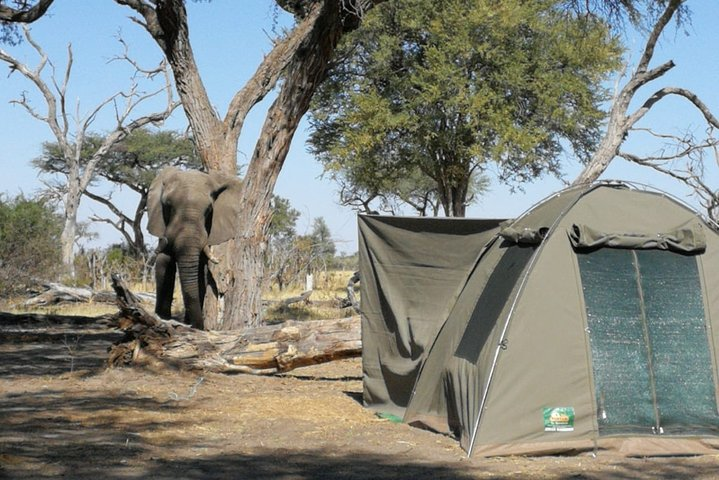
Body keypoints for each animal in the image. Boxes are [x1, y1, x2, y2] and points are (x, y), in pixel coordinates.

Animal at [148, 166, 243, 330]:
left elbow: (200, 271)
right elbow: (164, 263)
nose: (195, 326)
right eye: (167, 206)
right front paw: (163, 318)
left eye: (209, 210)